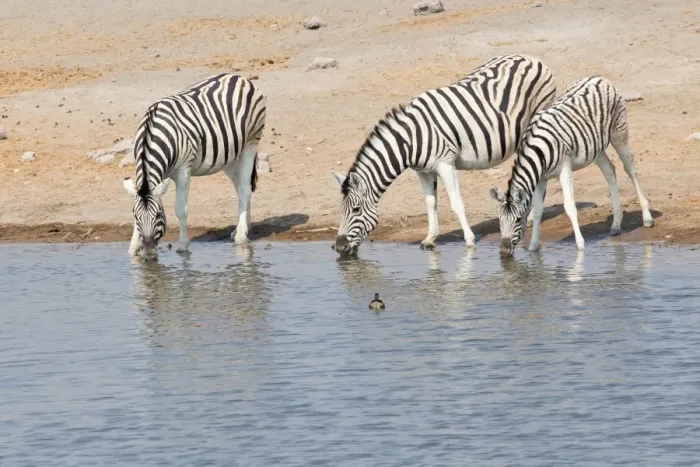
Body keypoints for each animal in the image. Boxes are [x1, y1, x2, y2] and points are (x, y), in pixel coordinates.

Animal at [122, 73, 266, 259]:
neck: (152, 134)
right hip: (230, 154)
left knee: (244, 189)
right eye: (136, 216)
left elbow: (180, 210)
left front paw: (183, 246)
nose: (147, 252)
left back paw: (241, 235)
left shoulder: (184, 170)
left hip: (251, 142)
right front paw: (133, 250)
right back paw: (242, 228)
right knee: (241, 186)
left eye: (159, 214)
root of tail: (239, 77)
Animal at [331, 54, 557, 257]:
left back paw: (528, 217)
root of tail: (532, 59)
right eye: (341, 210)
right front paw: (430, 238)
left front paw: (469, 240)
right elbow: (430, 203)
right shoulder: (423, 171)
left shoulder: (446, 164)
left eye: (356, 210)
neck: (410, 140)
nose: (340, 247)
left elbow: (456, 203)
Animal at [489, 76, 654, 257]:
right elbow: (538, 210)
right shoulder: (541, 178)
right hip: (596, 148)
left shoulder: (565, 169)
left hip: (619, 133)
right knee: (610, 171)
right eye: (499, 220)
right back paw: (616, 224)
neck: (538, 150)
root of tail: (599, 78)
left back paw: (647, 218)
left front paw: (580, 246)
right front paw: (533, 247)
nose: (504, 252)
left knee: (630, 170)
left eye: (518, 219)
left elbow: (569, 206)